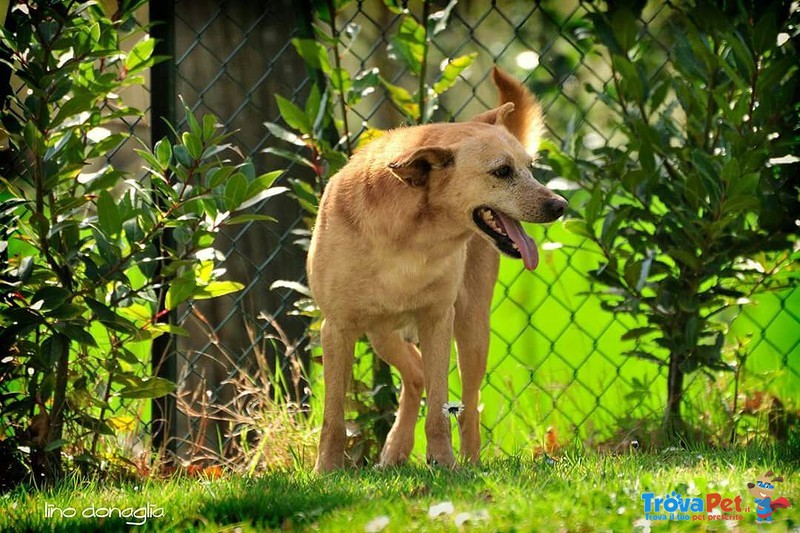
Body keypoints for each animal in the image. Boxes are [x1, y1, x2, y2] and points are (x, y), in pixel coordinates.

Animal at [308, 65, 568, 470]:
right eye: (502, 171)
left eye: (529, 168)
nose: (560, 205)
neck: (408, 243)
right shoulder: (336, 328)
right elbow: (332, 416)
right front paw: (327, 470)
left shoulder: (438, 320)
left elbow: (439, 411)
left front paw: (444, 463)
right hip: (381, 333)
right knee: (415, 376)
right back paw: (394, 451)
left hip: (472, 330)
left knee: (468, 407)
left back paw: (468, 462)